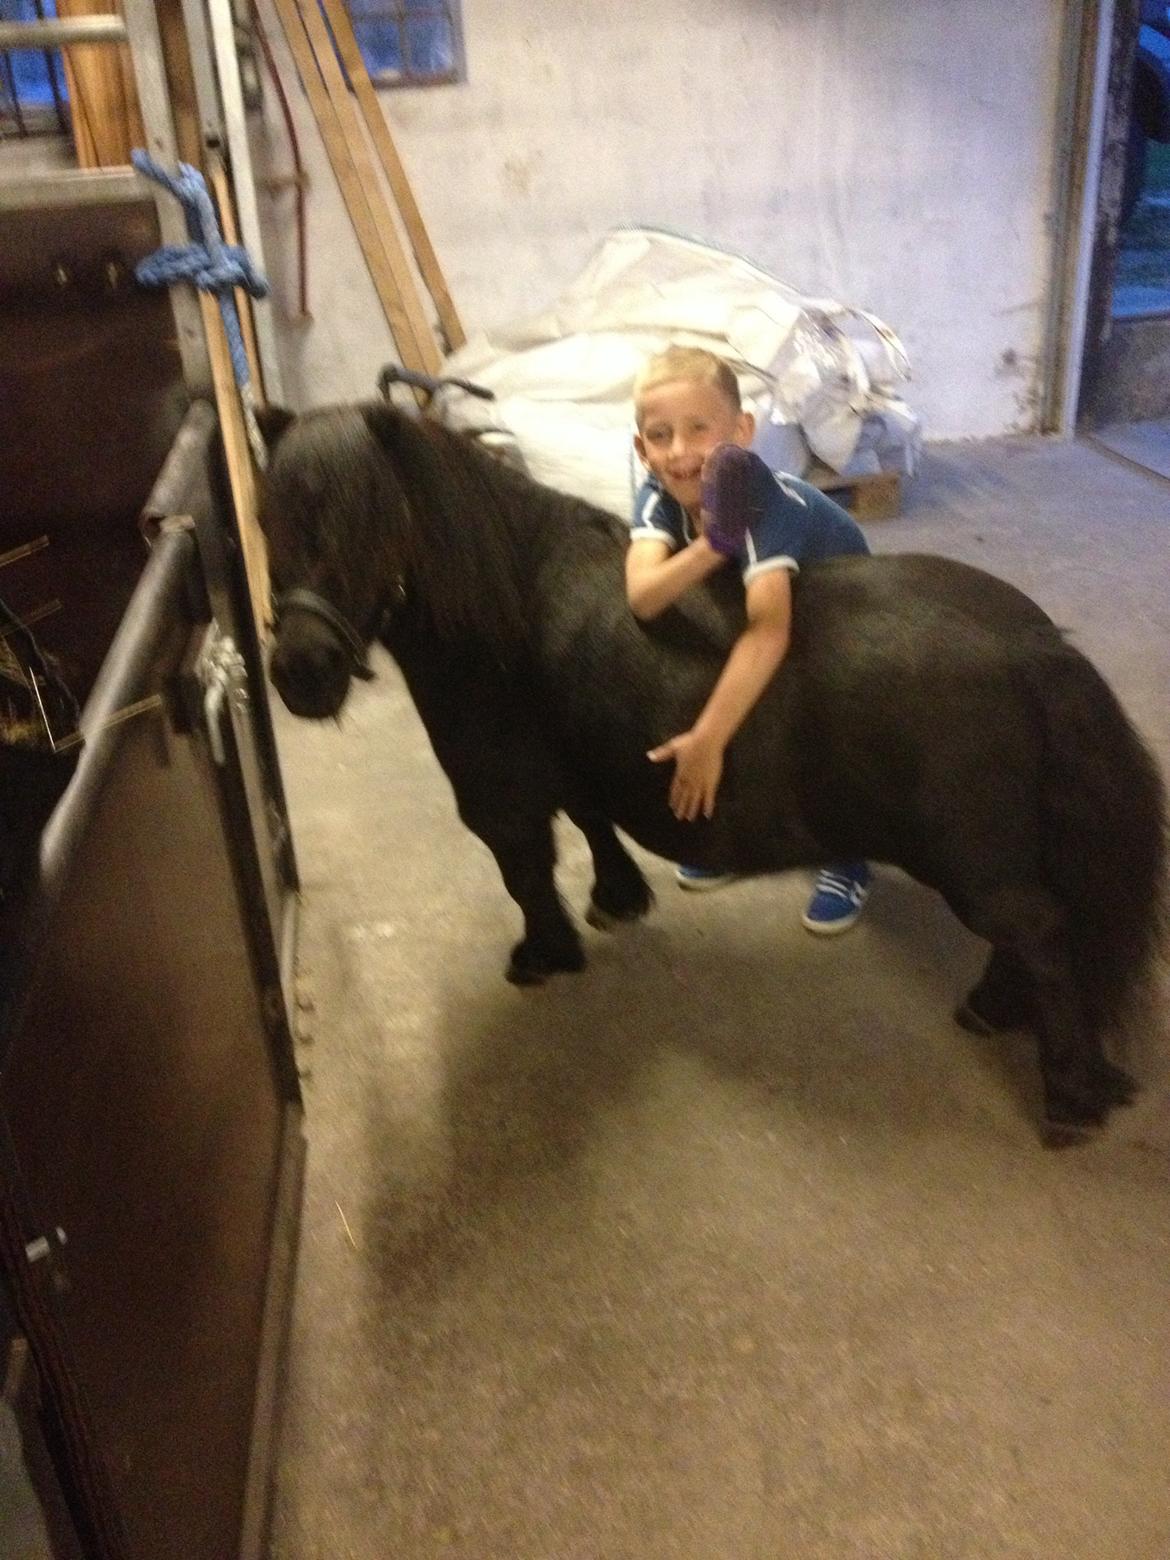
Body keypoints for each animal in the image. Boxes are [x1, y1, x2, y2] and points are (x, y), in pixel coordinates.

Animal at [257, 399, 1167, 1141]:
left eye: (365, 523)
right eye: (266, 523)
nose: (299, 673)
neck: (510, 607)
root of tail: (1034, 647)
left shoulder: (500, 803)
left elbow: (527, 878)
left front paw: (543, 956)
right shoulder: (582, 773)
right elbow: (592, 824)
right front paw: (617, 900)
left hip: (978, 868)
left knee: (1042, 932)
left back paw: (1069, 1095)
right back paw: (994, 1010)